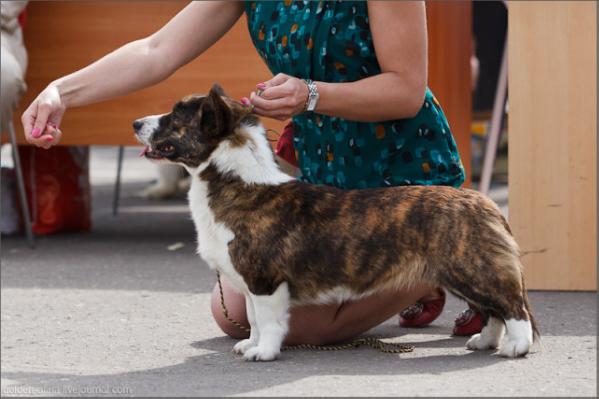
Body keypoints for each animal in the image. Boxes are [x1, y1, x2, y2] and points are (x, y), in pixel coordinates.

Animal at [134, 84, 540, 362]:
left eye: (175, 116)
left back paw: (516, 347)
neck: (235, 179)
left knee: (512, 307)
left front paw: (262, 352)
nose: (136, 122)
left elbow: (268, 321)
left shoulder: (265, 282)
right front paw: (248, 344)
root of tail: (487, 203)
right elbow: (251, 318)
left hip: (473, 269)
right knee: (494, 312)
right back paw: (485, 341)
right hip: (461, 274)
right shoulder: (248, 284)